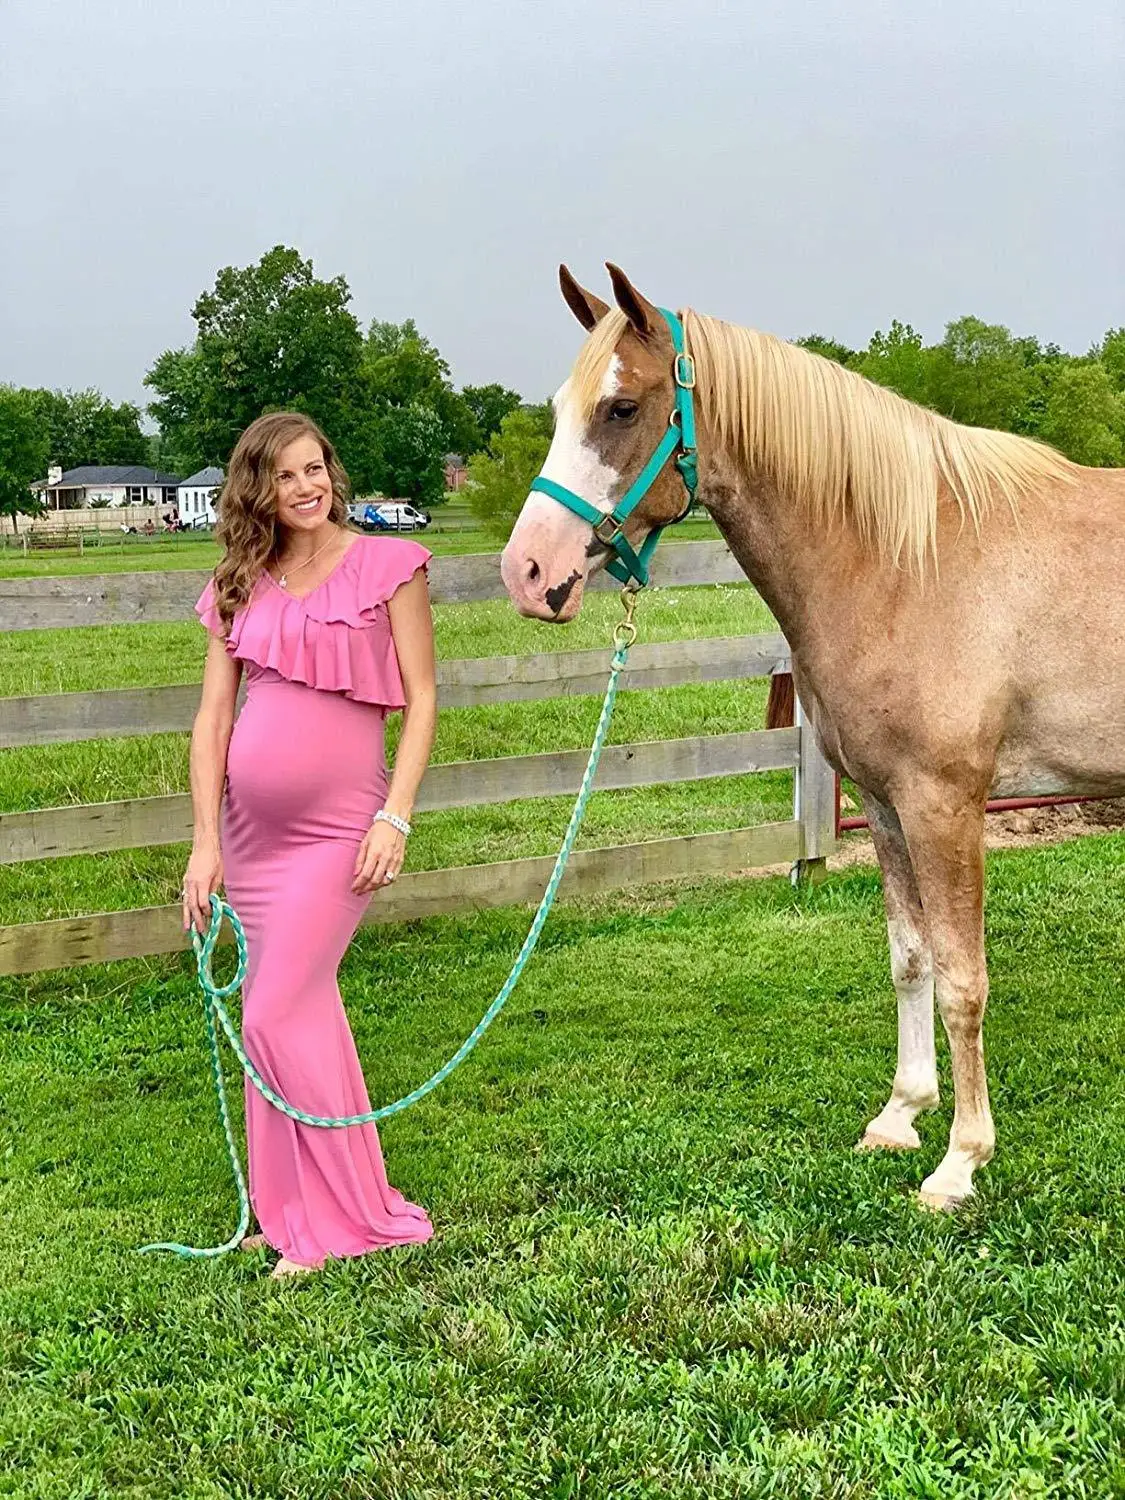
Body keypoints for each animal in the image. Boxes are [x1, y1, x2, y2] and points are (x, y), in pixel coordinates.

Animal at [504, 264, 1125, 1212]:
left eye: (620, 408)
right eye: (556, 407)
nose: (526, 572)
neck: (907, 561)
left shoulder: (944, 805)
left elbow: (962, 980)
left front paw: (960, 1160)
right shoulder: (884, 802)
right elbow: (910, 960)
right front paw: (901, 1115)